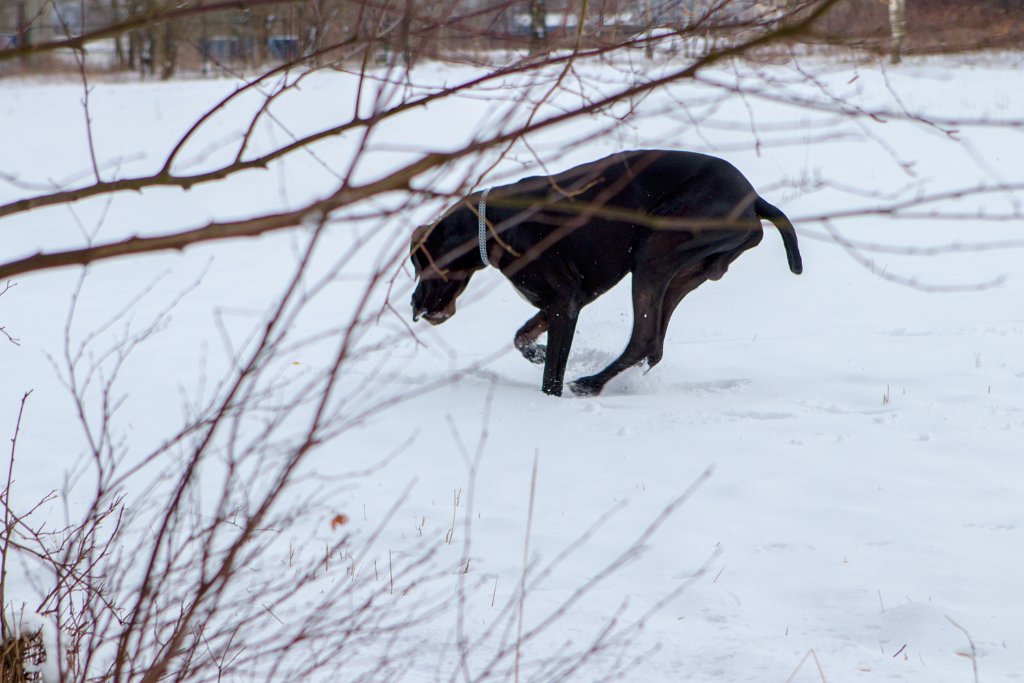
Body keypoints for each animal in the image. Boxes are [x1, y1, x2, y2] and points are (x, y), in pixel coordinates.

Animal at [407, 149, 798, 395]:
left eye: (422, 263)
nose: (413, 304)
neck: (495, 224)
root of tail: (754, 199)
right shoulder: (565, 300)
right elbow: (521, 337)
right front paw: (537, 352)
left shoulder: (565, 301)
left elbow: (552, 374)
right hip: (682, 271)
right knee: (653, 346)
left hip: (653, 250)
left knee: (643, 338)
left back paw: (591, 384)